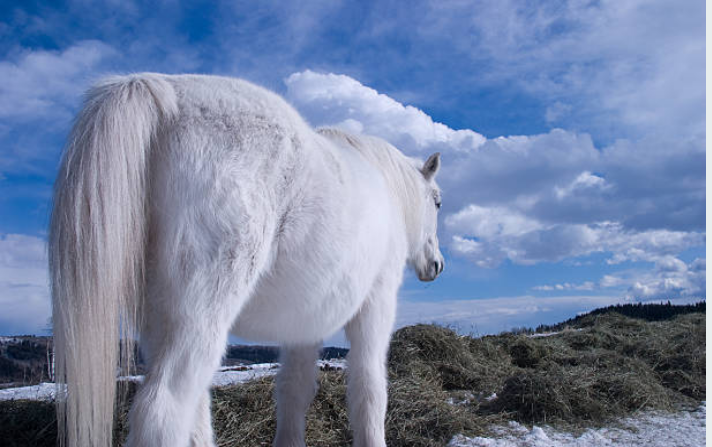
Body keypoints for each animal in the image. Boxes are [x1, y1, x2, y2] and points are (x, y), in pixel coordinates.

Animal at [50, 73, 442, 447]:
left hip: (160, 320)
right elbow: (370, 387)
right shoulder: (376, 303)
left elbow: (294, 389)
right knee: (163, 410)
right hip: (203, 312)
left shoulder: (304, 323)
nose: (436, 265)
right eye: (437, 201)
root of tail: (166, 95)